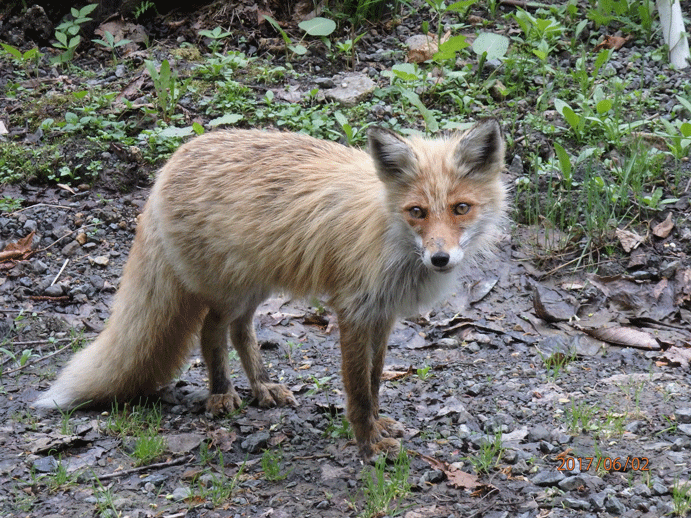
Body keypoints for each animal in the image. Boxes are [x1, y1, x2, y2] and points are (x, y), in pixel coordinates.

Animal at [33, 121, 508, 464]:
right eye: (417, 212)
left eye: (460, 208)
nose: (440, 259)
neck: (389, 236)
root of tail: (170, 164)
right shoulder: (354, 312)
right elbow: (357, 390)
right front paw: (368, 444)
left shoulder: (383, 316)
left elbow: (374, 381)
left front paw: (377, 425)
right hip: (230, 289)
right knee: (211, 330)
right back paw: (221, 393)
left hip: (253, 288)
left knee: (239, 330)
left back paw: (261, 386)